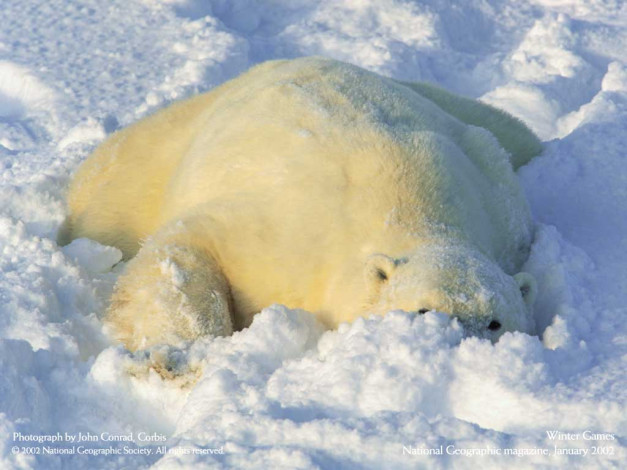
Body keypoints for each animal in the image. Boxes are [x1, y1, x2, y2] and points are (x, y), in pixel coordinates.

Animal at [62, 57, 544, 348]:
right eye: (424, 309)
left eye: (495, 321)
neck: (410, 207)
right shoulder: (286, 235)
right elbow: (191, 244)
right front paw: (176, 352)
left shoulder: (502, 214)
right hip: (155, 156)